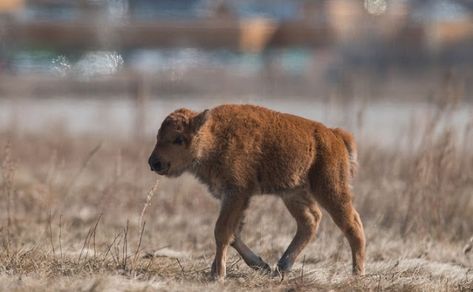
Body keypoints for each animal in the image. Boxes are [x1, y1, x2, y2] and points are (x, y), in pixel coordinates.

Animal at [148, 104, 366, 280]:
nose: (154, 162)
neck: (213, 136)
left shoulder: (236, 194)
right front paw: (260, 265)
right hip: (292, 194)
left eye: (178, 139)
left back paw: (357, 273)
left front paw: (218, 275)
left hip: (330, 189)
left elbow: (222, 231)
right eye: (158, 136)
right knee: (310, 220)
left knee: (352, 224)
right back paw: (281, 267)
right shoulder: (233, 198)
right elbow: (234, 234)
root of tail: (334, 134)